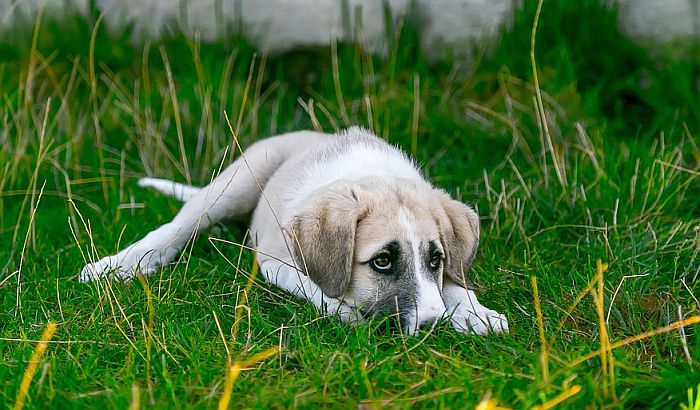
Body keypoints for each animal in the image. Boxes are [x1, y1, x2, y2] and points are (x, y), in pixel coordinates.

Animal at [80, 128, 508, 336]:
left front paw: (475, 312)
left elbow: (453, 283)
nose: (434, 326)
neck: (368, 175)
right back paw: (120, 264)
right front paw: (347, 312)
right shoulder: (275, 260)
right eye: (383, 261)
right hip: (238, 179)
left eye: (436, 259)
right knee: (178, 226)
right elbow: (319, 288)